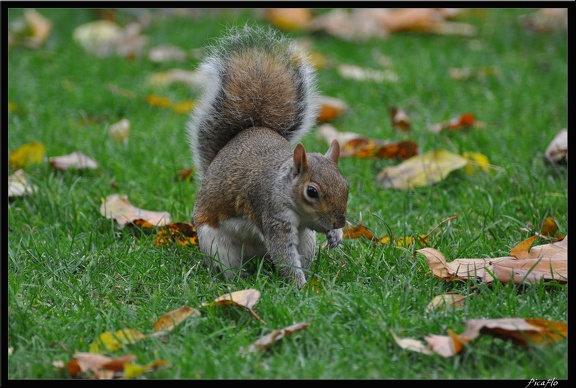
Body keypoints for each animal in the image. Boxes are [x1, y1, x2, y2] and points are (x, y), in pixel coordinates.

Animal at [189, 23, 348, 284]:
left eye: (346, 186)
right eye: (312, 192)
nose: (340, 221)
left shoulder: (311, 223)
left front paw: (336, 235)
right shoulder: (270, 212)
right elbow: (283, 252)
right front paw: (300, 286)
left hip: (306, 242)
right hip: (217, 246)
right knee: (230, 267)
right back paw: (240, 280)